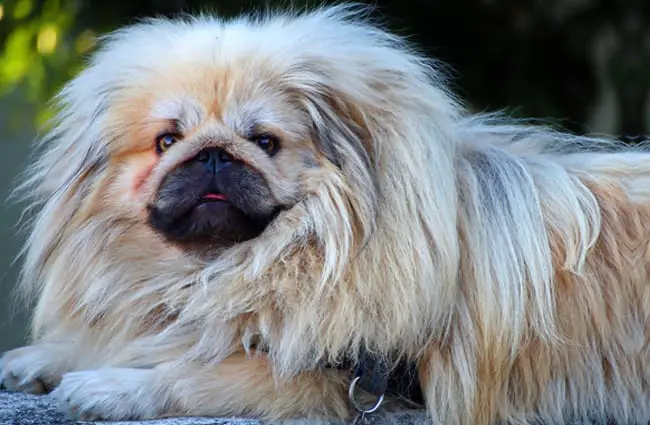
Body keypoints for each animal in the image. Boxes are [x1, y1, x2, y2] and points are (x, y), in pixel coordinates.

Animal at [1, 4, 648, 424]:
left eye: (263, 142)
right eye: (167, 141)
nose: (213, 154)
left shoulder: (344, 379)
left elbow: (198, 371)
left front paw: (111, 387)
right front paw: (40, 361)